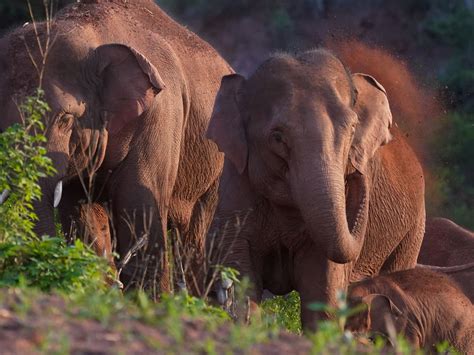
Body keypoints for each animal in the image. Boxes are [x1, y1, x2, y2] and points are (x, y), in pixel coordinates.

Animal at [0, 0, 231, 296]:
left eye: (65, 119)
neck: (90, 32)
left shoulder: (160, 116)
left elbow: (139, 206)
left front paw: (152, 300)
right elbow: (80, 211)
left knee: (196, 236)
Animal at [206, 48, 426, 330]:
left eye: (352, 128)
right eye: (277, 137)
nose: (358, 171)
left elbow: (323, 289)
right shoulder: (236, 185)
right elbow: (240, 274)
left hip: (412, 231)